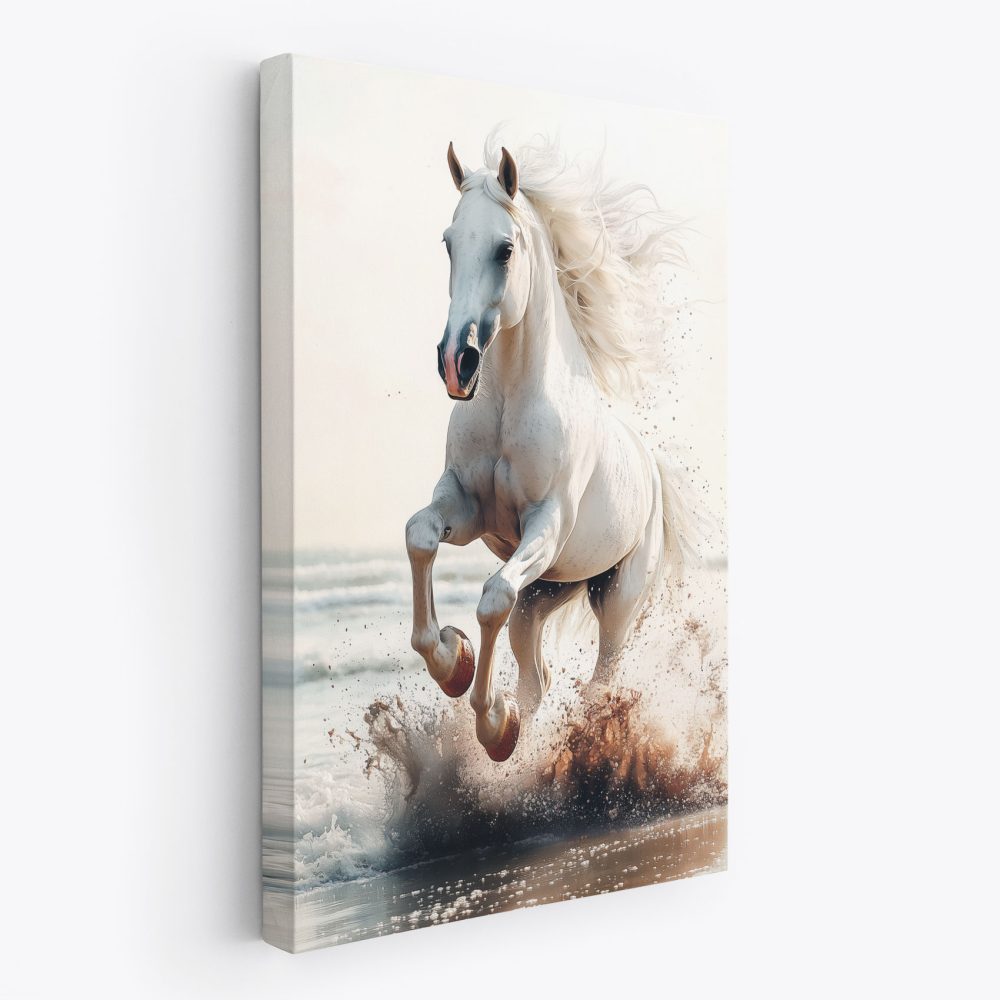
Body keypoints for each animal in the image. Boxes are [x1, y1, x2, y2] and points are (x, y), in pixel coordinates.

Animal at [405, 135, 693, 762]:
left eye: (505, 249)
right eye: (448, 243)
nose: (456, 362)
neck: (510, 403)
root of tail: (651, 469)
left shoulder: (545, 524)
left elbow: (490, 596)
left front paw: (490, 720)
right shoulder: (465, 508)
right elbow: (420, 536)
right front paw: (452, 662)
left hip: (614, 600)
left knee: (599, 681)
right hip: (546, 592)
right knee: (538, 676)